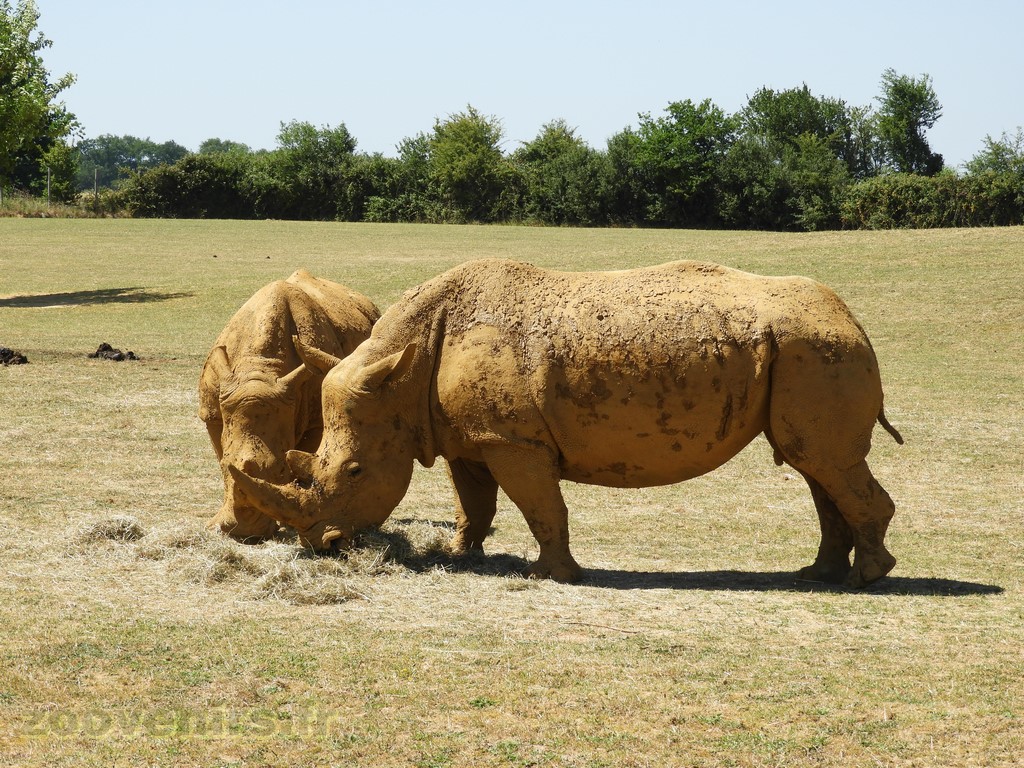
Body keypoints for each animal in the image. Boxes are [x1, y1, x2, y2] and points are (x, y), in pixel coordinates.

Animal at [199, 269, 379, 540]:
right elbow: (222, 451)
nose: (246, 534)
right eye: (222, 465)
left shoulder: (316, 420)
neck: (258, 368)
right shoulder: (212, 412)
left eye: (281, 471)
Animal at [232, 259, 903, 587]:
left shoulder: (514, 439)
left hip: (815, 349)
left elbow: (539, 505)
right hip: (805, 352)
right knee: (817, 465)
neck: (401, 370)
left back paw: (866, 579)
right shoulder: (469, 437)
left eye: (353, 470)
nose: (323, 546)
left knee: (824, 461)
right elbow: (474, 501)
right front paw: (460, 553)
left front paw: (552, 575)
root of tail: (853, 318)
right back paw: (818, 575)